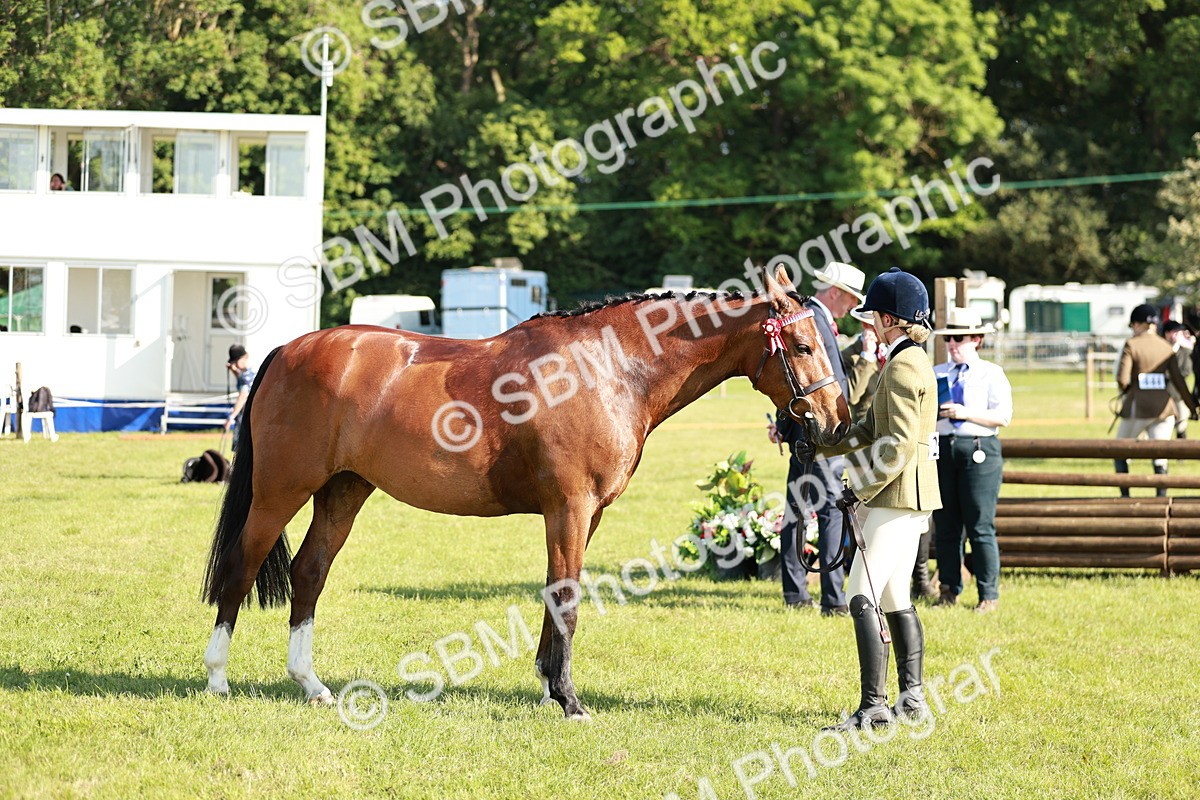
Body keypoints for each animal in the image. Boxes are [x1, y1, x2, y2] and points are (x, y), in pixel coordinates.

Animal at [201, 264, 850, 719]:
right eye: (802, 347)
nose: (835, 424)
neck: (608, 368)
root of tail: (286, 350)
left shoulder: (585, 516)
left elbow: (556, 593)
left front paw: (546, 689)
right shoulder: (569, 507)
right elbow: (566, 595)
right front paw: (568, 699)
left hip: (343, 491)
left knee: (309, 572)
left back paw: (311, 685)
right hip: (279, 492)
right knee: (240, 567)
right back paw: (217, 679)